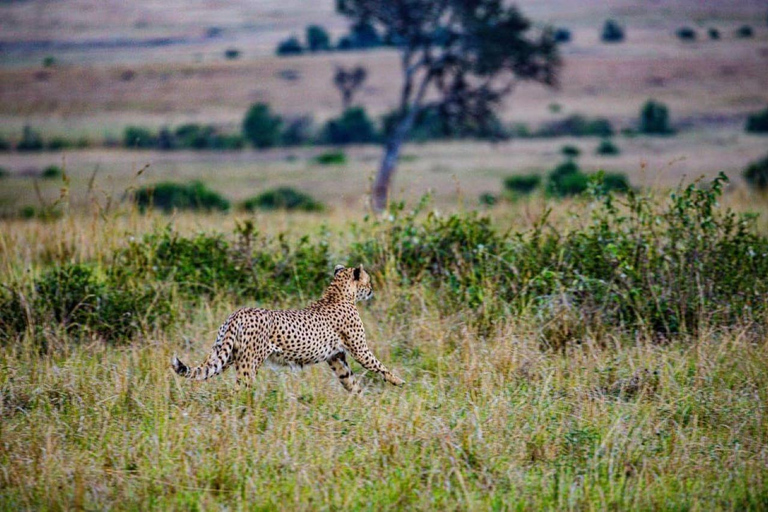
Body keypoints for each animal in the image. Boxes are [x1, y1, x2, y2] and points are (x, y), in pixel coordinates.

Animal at [171, 264, 404, 392]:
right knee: (239, 391)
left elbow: (350, 382)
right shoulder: (360, 350)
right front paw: (398, 380)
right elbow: (379, 365)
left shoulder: (335, 357)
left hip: (225, 356)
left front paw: (362, 403)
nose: (372, 289)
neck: (338, 293)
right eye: (368, 280)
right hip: (248, 364)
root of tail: (238, 312)